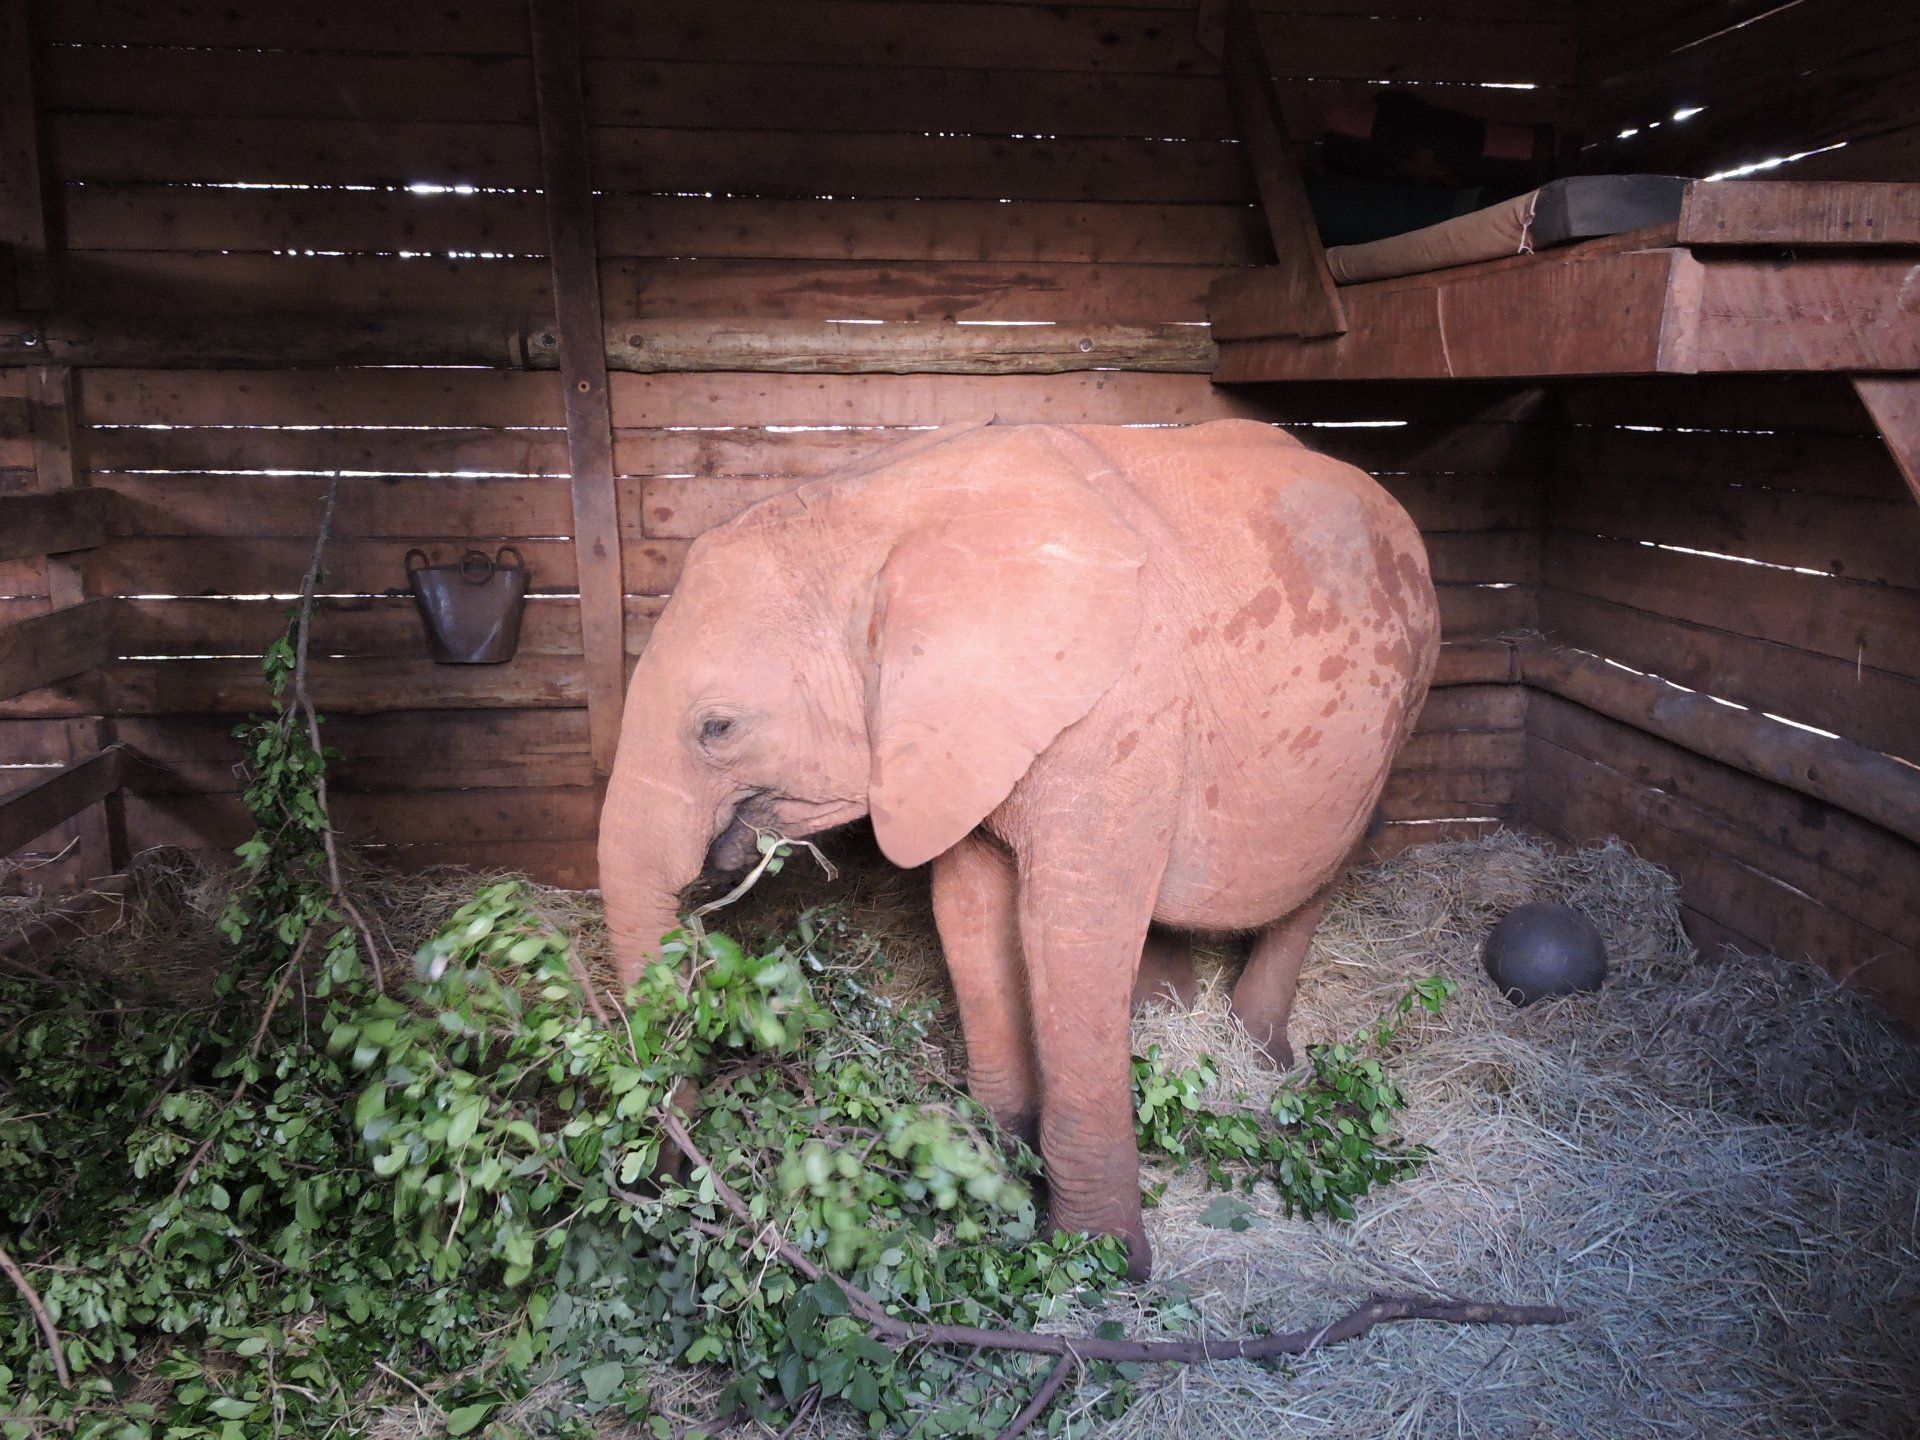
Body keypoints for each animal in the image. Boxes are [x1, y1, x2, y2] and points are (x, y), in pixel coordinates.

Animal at [598, 418, 1439, 1279]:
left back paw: (1261, 1058)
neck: (871, 510)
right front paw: (990, 1168)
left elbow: (1068, 933)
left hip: (1406, 696)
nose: (667, 1184)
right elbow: (967, 912)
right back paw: (1163, 1016)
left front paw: (1098, 1264)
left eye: (717, 727)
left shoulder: (1115, 710)